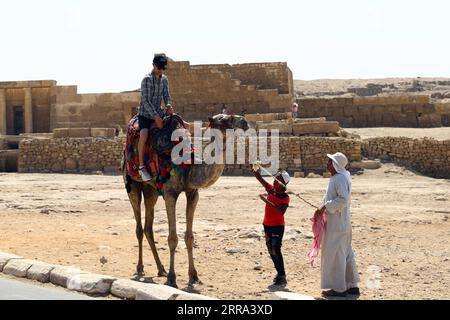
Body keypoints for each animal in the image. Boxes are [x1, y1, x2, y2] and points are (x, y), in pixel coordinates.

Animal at [123, 114, 250, 288]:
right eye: (224, 119)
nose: (244, 122)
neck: (188, 167)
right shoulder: (170, 193)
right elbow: (172, 238)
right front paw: (172, 278)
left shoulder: (192, 193)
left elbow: (189, 237)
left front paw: (193, 276)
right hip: (132, 184)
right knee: (139, 227)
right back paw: (141, 268)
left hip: (151, 190)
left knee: (148, 227)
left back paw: (161, 269)